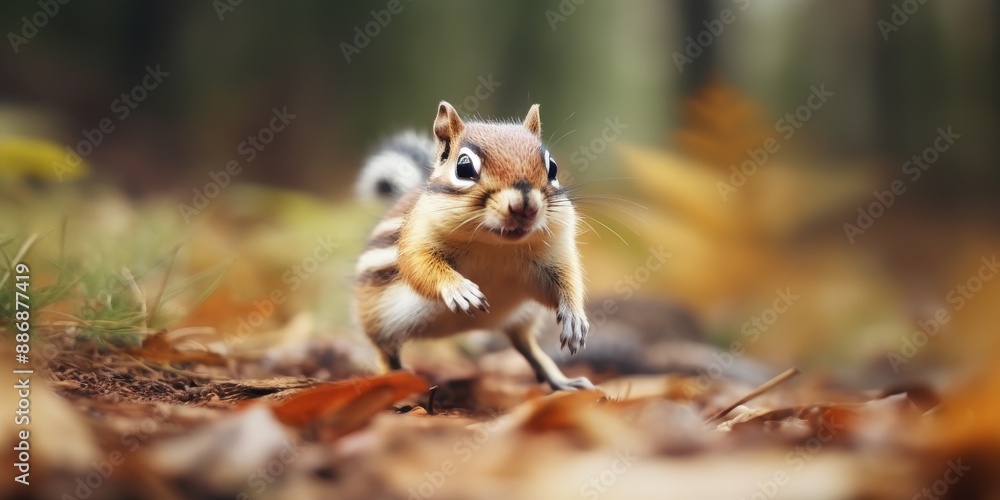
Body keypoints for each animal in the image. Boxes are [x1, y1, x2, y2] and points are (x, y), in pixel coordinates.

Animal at [353, 101, 592, 391]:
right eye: (464, 167)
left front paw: (574, 317)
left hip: (523, 317)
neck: (496, 246)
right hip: (379, 324)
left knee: (526, 346)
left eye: (553, 167)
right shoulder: (416, 241)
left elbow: (566, 280)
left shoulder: (554, 253)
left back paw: (562, 381)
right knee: (388, 356)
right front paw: (460, 290)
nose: (525, 206)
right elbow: (420, 269)